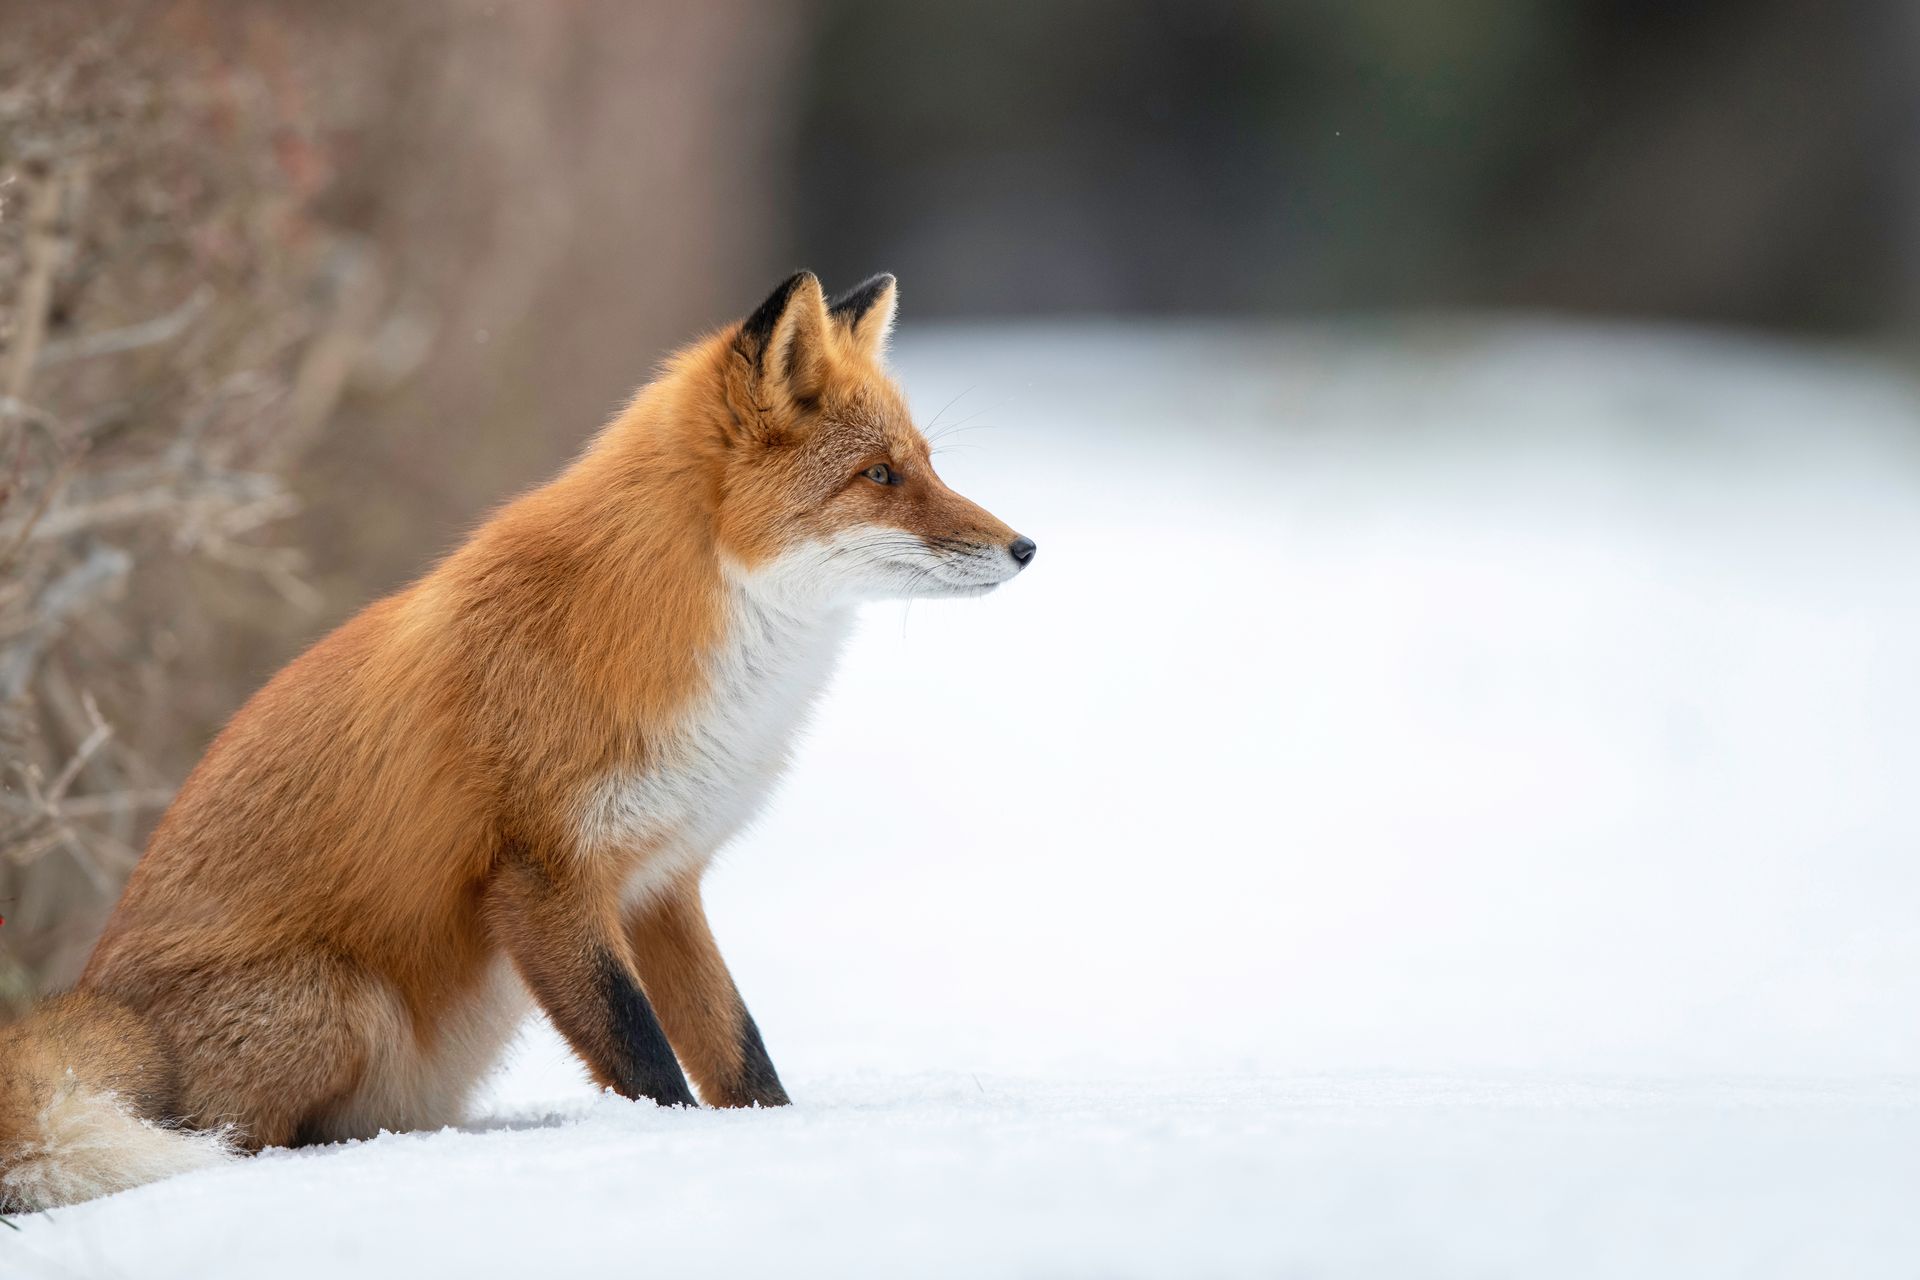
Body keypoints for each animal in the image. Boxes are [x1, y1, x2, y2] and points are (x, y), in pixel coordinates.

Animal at [0, 271, 1034, 1212]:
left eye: (928, 463)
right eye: (881, 476)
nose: (1027, 548)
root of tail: (96, 998)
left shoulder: (663, 880)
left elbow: (739, 1051)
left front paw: (772, 1140)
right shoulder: (539, 874)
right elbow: (644, 1057)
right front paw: (675, 1153)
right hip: (343, 1002)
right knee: (230, 1137)